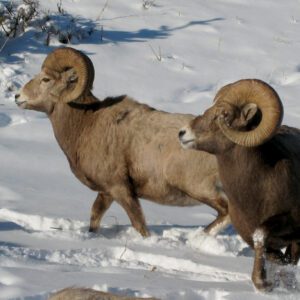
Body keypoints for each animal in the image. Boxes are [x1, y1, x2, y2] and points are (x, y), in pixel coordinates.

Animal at [15, 47, 229, 237]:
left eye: (46, 79)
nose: (18, 96)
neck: (86, 124)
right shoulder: (106, 193)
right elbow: (95, 217)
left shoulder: (121, 190)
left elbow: (140, 226)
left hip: (196, 187)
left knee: (225, 212)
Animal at [179, 78, 300, 290]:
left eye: (224, 114)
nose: (183, 133)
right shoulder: (249, 235)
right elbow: (272, 255)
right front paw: (267, 283)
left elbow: (263, 237)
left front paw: (262, 283)